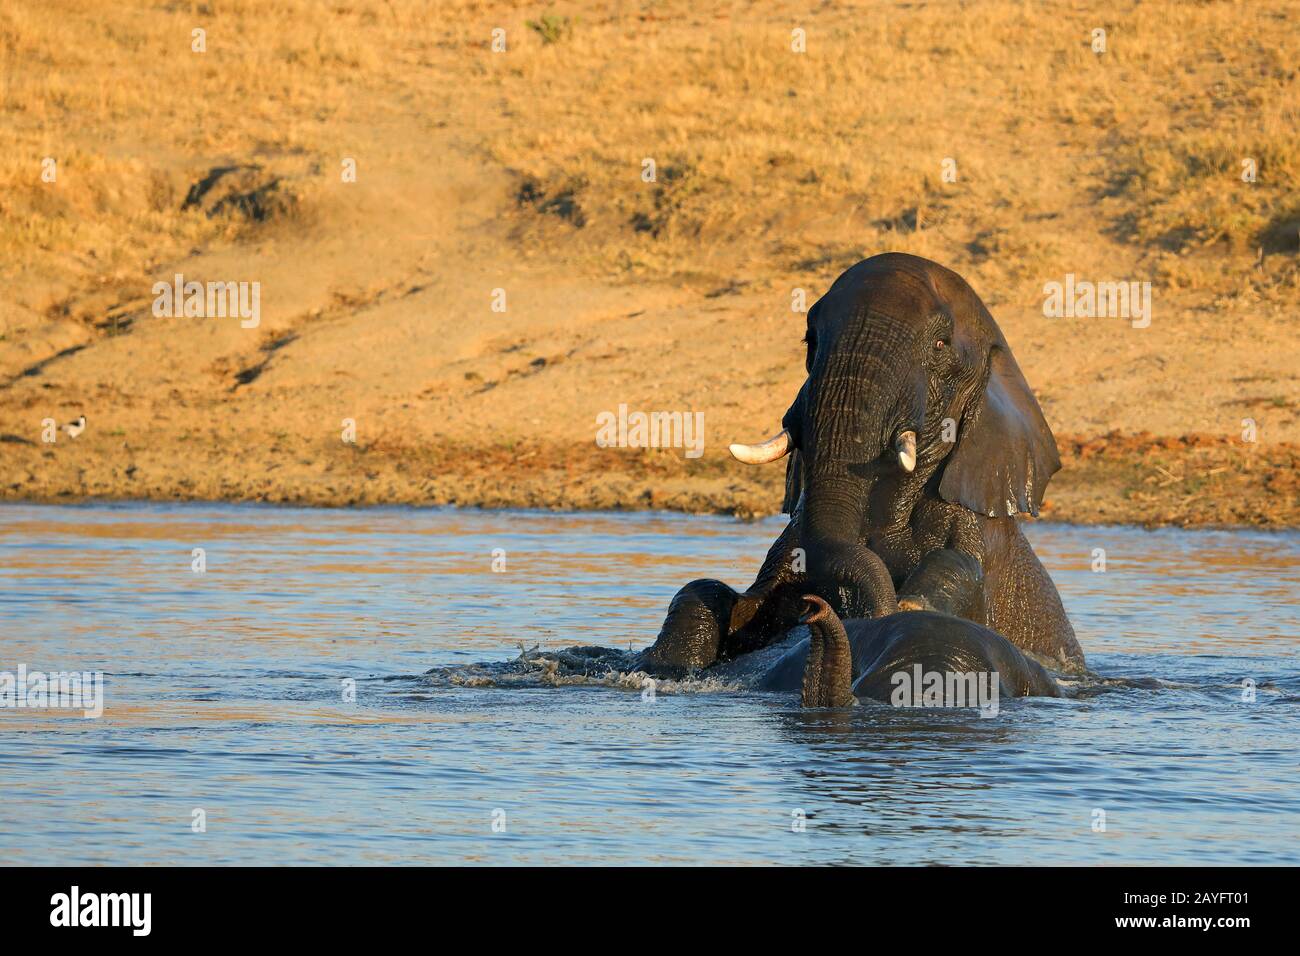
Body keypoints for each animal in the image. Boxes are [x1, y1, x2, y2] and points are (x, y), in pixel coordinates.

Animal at [637, 252, 1084, 678]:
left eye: (941, 345)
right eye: (809, 339)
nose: (819, 608)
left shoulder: (974, 539)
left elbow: (955, 571)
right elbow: (721, 596)